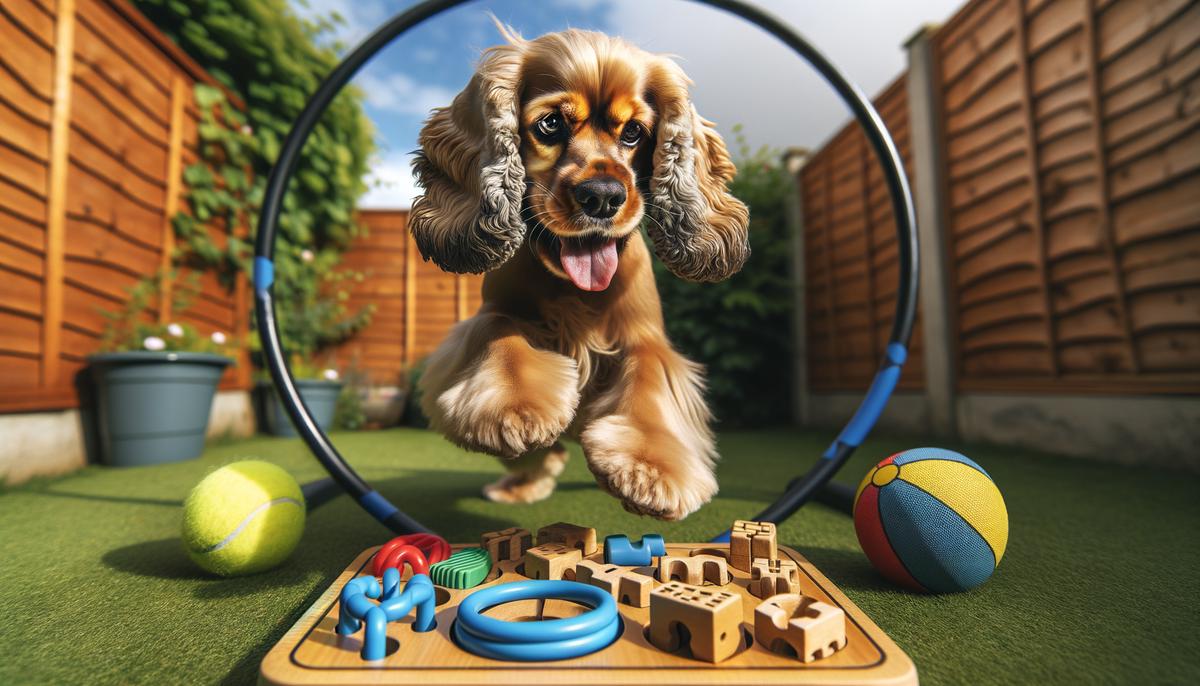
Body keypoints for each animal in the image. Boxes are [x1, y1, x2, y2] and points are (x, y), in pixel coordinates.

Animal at [412, 25, 748, 520]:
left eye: (634, 132)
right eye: (551, 124)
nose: (603, 196)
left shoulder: (646, 338)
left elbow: (650, 379)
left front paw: (650, 470)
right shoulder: (492, 313)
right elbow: (500, 334)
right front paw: (513, 409)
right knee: (542, 455)